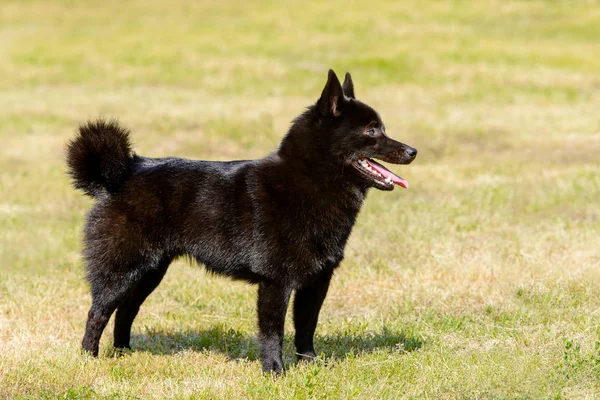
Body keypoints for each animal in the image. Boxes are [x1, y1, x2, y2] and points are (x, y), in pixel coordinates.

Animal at [64, 69, 412, 372]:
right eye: (371, 131)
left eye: (382, 128)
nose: (412, 151)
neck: (309, 181)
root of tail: (120, 174)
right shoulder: (276, 281)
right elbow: (273, 332)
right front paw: (274, 372)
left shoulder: (316, 281)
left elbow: (306, 327)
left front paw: (310, 365)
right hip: (122, 270)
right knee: (98, 312)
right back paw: (89, 357)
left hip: (150, 271)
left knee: (126, 311)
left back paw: (125, 353)